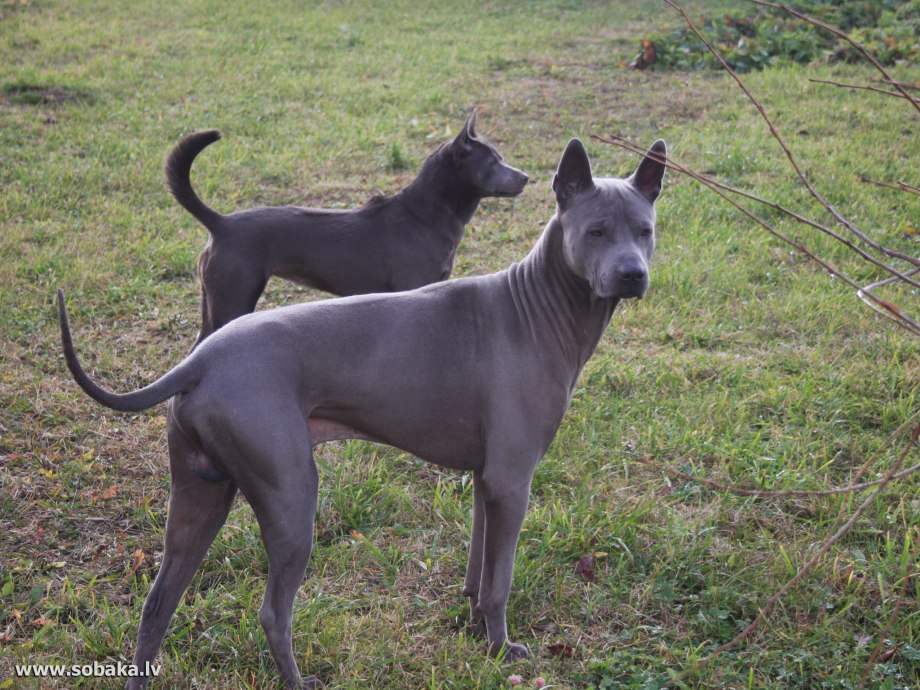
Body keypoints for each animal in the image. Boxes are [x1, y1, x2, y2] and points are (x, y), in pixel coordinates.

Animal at [57, 137, 664, 684]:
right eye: (596, 231)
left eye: (645, 231)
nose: (632, 274)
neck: (534, 305)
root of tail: (200, 359)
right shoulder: (513, 481)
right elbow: (500, 581)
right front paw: (500, 648)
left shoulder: (486, 481)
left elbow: (478, 568)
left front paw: (473, 630)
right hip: (291, 495)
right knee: (272, 613)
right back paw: (298, 680)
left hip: (200, 494)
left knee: (157, 604)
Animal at [164, 111, 524, 344]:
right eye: (492, 162)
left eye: (500, 157)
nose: (526, 177)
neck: (424, 215)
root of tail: (220, 223)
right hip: (233, 297)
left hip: (213, 300)